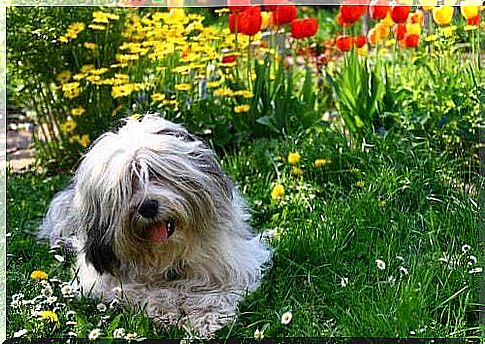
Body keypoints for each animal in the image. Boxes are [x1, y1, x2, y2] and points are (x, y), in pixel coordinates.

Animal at [38, 115, 272, 336]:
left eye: (154, 173)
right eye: (125, 187)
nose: (148, 207)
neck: (167, 254)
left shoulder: (233, 264)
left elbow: (216, 292)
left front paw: (206, 318)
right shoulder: (108, 283)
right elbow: (145, 292)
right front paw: (168, 309)